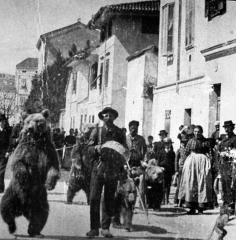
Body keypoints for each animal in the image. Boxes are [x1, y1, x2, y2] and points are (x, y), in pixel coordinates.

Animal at [0, 109, 60, 237]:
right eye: (28, 121)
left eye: (37, 121)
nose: (29, 129)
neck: (36, 141)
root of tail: (22, 210)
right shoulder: (25, 149)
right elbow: (18, 162)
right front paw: (25, 177)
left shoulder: (48, 150)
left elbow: (54, 167)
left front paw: (49, 184)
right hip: (13, 193)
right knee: (6, 209)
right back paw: (12, 228)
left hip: (39, 199)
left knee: (41, 215)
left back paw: (35, 232)